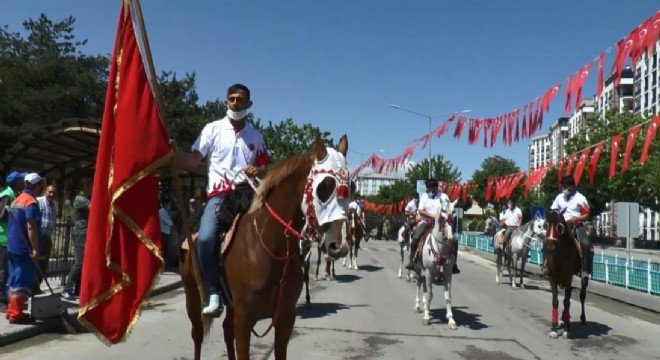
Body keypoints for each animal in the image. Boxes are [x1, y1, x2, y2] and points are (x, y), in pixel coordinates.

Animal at [175, 134, 350, 358]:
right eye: (324, 187)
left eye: (351, 186)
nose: (338, 246)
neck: (269, 247)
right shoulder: (244, 320)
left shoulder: (286, 318)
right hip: (192, 292)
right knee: (197, 334)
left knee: (226, 330)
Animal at [412, 198, 458, 330]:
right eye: (442, 215)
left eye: (454, 215)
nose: (450, 238)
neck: (441, 249)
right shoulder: (428, 272)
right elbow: (430, 294)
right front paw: (426, 317)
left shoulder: (448, 274)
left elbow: (448, 297)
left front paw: (451, 319)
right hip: (418, 270)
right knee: (419, 284)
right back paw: (418, 305)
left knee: (424, 286)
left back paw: (424, 305)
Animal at [544, 210, 592, 338]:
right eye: (545, 225)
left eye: (559, 227)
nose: (550, 248)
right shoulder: (552, 277)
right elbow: (555, 301)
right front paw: (554, 327)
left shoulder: (567, 277)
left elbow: (567, 301)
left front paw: (567, 329)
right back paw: (563, 318)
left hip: (583, 278)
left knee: (582, 295)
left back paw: (582, 318)